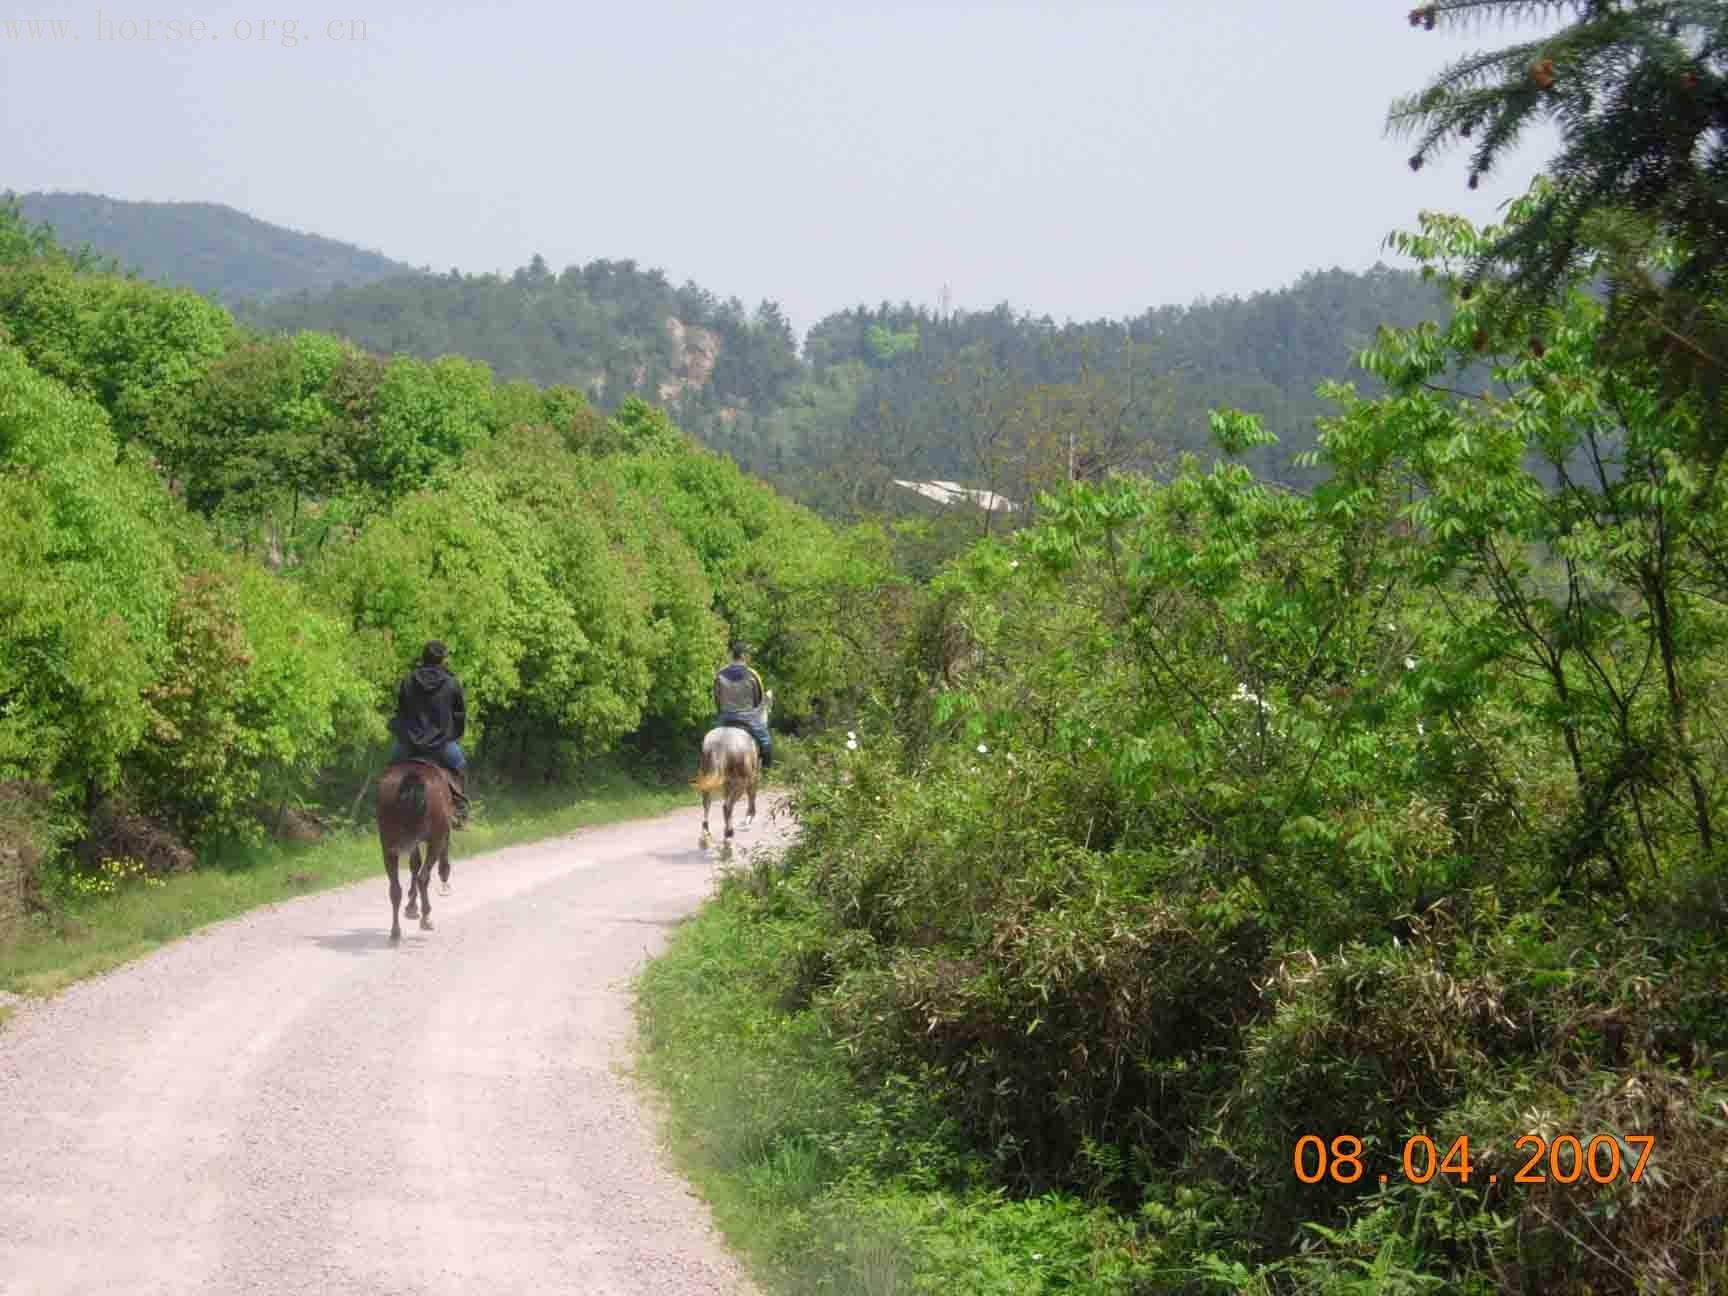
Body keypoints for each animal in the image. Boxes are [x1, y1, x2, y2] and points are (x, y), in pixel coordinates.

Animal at [373, 760, 452, 946]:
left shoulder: (412, 843)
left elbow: (414, 865)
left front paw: (411, 907)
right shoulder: (438, 836)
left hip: (388, 846)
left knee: (395, 889)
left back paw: (395, 933)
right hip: (434, 840)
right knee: (423, 877)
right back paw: (426, 918)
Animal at [694, 691, 777, 864]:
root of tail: (721, 742)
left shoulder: (727, 783)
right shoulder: (754, 776)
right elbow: (752, 796)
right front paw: (748, 820)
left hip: (707, 776)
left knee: (707, 803)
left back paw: (705, 838)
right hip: (741, 782)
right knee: (727, 806)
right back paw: (728, 841)